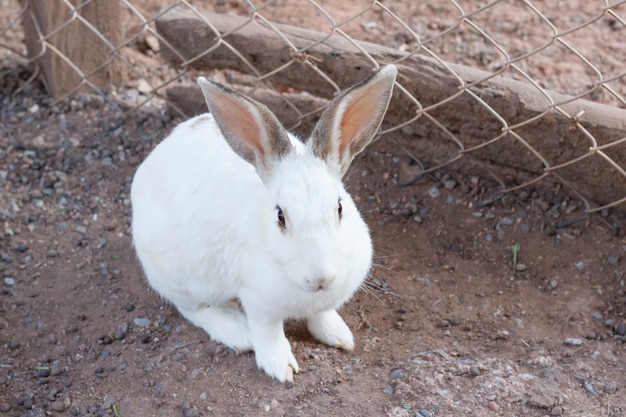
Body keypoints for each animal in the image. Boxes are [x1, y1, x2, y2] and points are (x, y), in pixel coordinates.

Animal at [130, 64, 398, 380]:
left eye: (340, 207)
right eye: (280, 216)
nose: (320, 278)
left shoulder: (323, 302)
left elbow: (321, 317)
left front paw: (339, 336)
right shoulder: (258, 303)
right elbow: (269, 334)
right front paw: (281, 367)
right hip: (187, 278)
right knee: (194, 309)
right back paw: (238, 333)